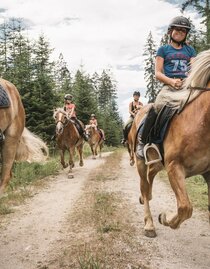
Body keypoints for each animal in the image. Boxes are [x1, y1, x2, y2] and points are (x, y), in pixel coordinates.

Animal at [130, 48, 210, 237]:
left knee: (150, 177)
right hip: (140, 161)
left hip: (157, 162)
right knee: (144, 186)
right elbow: (185, 207)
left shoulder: (208, 172)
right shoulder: (174, 167)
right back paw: (149, 224)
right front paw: (164, 218)